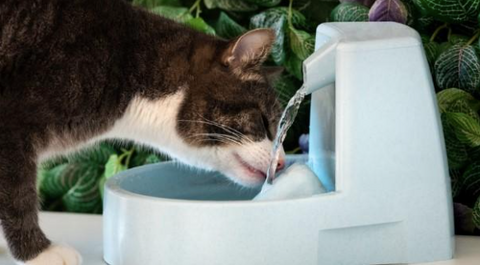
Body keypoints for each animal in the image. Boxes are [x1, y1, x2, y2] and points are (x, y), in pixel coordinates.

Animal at [0, 0, 286, 262]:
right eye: (264, 121)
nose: (282, 162)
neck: (127, 63)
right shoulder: (12, 125)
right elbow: (18, 194)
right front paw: (38, 253)